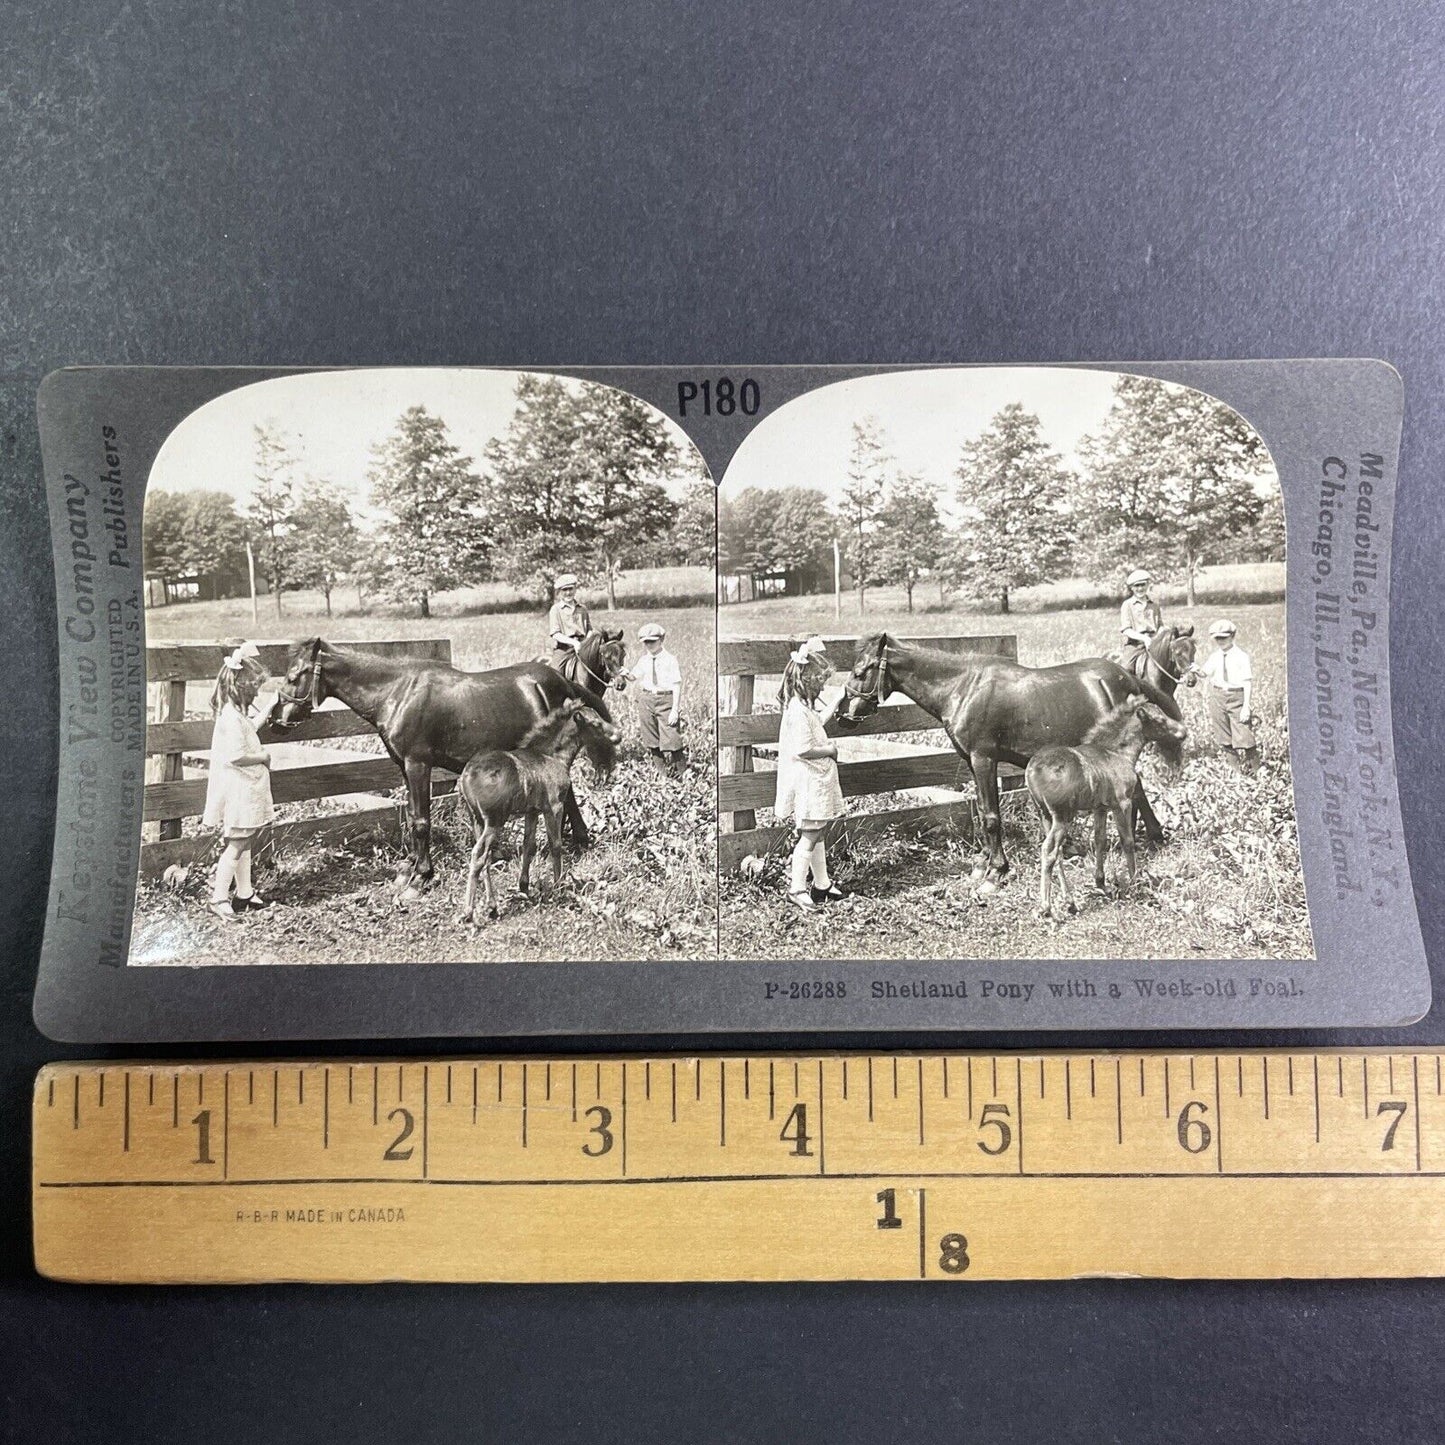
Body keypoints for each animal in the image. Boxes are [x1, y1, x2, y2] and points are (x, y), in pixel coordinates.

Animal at [268, 638, 618, 895]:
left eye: (293, 676)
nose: (275, 720)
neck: (398, 692)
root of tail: (561, 680)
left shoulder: (418, 763)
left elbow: (422, 820)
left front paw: (423, 874)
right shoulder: (403, 766)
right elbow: (411, 815)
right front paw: (409, 866)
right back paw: (578, 840)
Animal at [456, 699, 621, 924]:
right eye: (596, 723)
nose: (618, 736)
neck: (552, 755)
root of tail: (467, 776)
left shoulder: (532, 811)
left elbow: (529, 845)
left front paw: (524, 886)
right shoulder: (554, 806)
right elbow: (556, 844)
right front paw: (559, 885)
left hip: (477, 820)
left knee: (486, 857)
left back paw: (492, 907)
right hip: (495, 820)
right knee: (478, 855)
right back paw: (468, 912)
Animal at [838, 635, 1184, 884]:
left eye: (861, 671)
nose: (843, 715)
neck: (963, 688)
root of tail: (1127, 675)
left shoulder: (983, 758)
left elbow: (992, 817)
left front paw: (997, 870)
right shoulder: (971, 761)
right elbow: (982, 811)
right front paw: (985, 864)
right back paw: (1150, 835)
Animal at [1028, 693, 1184, 919]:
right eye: (1160, 720)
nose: (1183, 732)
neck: (1116, 752)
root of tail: (1033, 770)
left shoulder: (1100, 807)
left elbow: (1099, 840)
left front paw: (1100, 882)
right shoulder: (1122, 803)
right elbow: (1127, 841)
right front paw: (1135, 882)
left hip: (1045, 815)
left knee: (1057, 854)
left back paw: (1070, 902)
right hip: (1063, 815)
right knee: (1049, 850)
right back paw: (1046, 907)